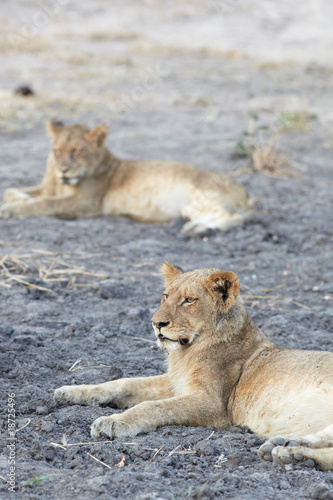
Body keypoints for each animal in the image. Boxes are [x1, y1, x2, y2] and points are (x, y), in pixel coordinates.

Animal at [0, 121, 253, 232]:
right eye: (57, 151)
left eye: (77, 152)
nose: (62, 170)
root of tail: (245, 192)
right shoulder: (48, 188)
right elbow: (11, 190)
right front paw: (18, 199)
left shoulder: (86, 203)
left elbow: (44, 203)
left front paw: (10, 210)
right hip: (190, 206)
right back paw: (191, 227)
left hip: (200, 195)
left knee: (234, 217)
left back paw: (200, 230)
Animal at [55, 264, 333, 470]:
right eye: (166, 296)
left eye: (188, 300)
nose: (156, 323)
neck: (187, 352)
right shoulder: (175, 382)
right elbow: (124, 383)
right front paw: (69, 392)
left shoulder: (214, 404)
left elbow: (153, 406)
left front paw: (111, 423)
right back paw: (285, 448)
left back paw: (291, 452)